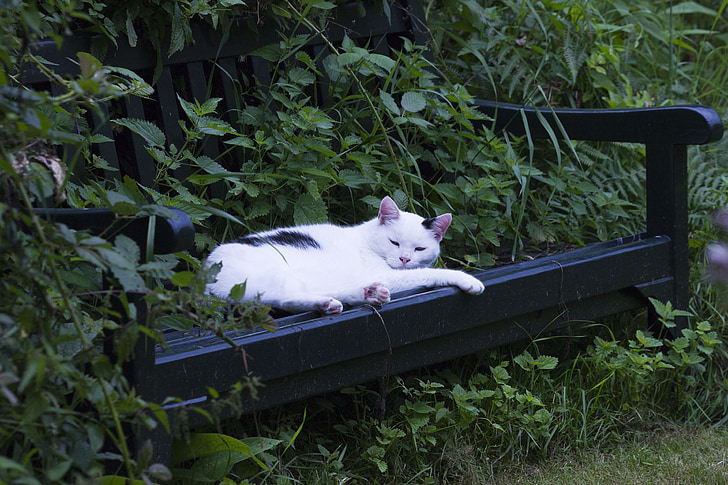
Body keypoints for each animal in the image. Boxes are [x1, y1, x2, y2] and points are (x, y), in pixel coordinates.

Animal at [205, 197, 486, 314]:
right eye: (394, 242)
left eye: (419, 249)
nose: (405, 259)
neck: (367, 241)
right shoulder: (386, 273)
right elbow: (429, 273)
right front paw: (468, 280)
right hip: (271, 278)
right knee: (284, 299)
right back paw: (327, 304)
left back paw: (367, 295)